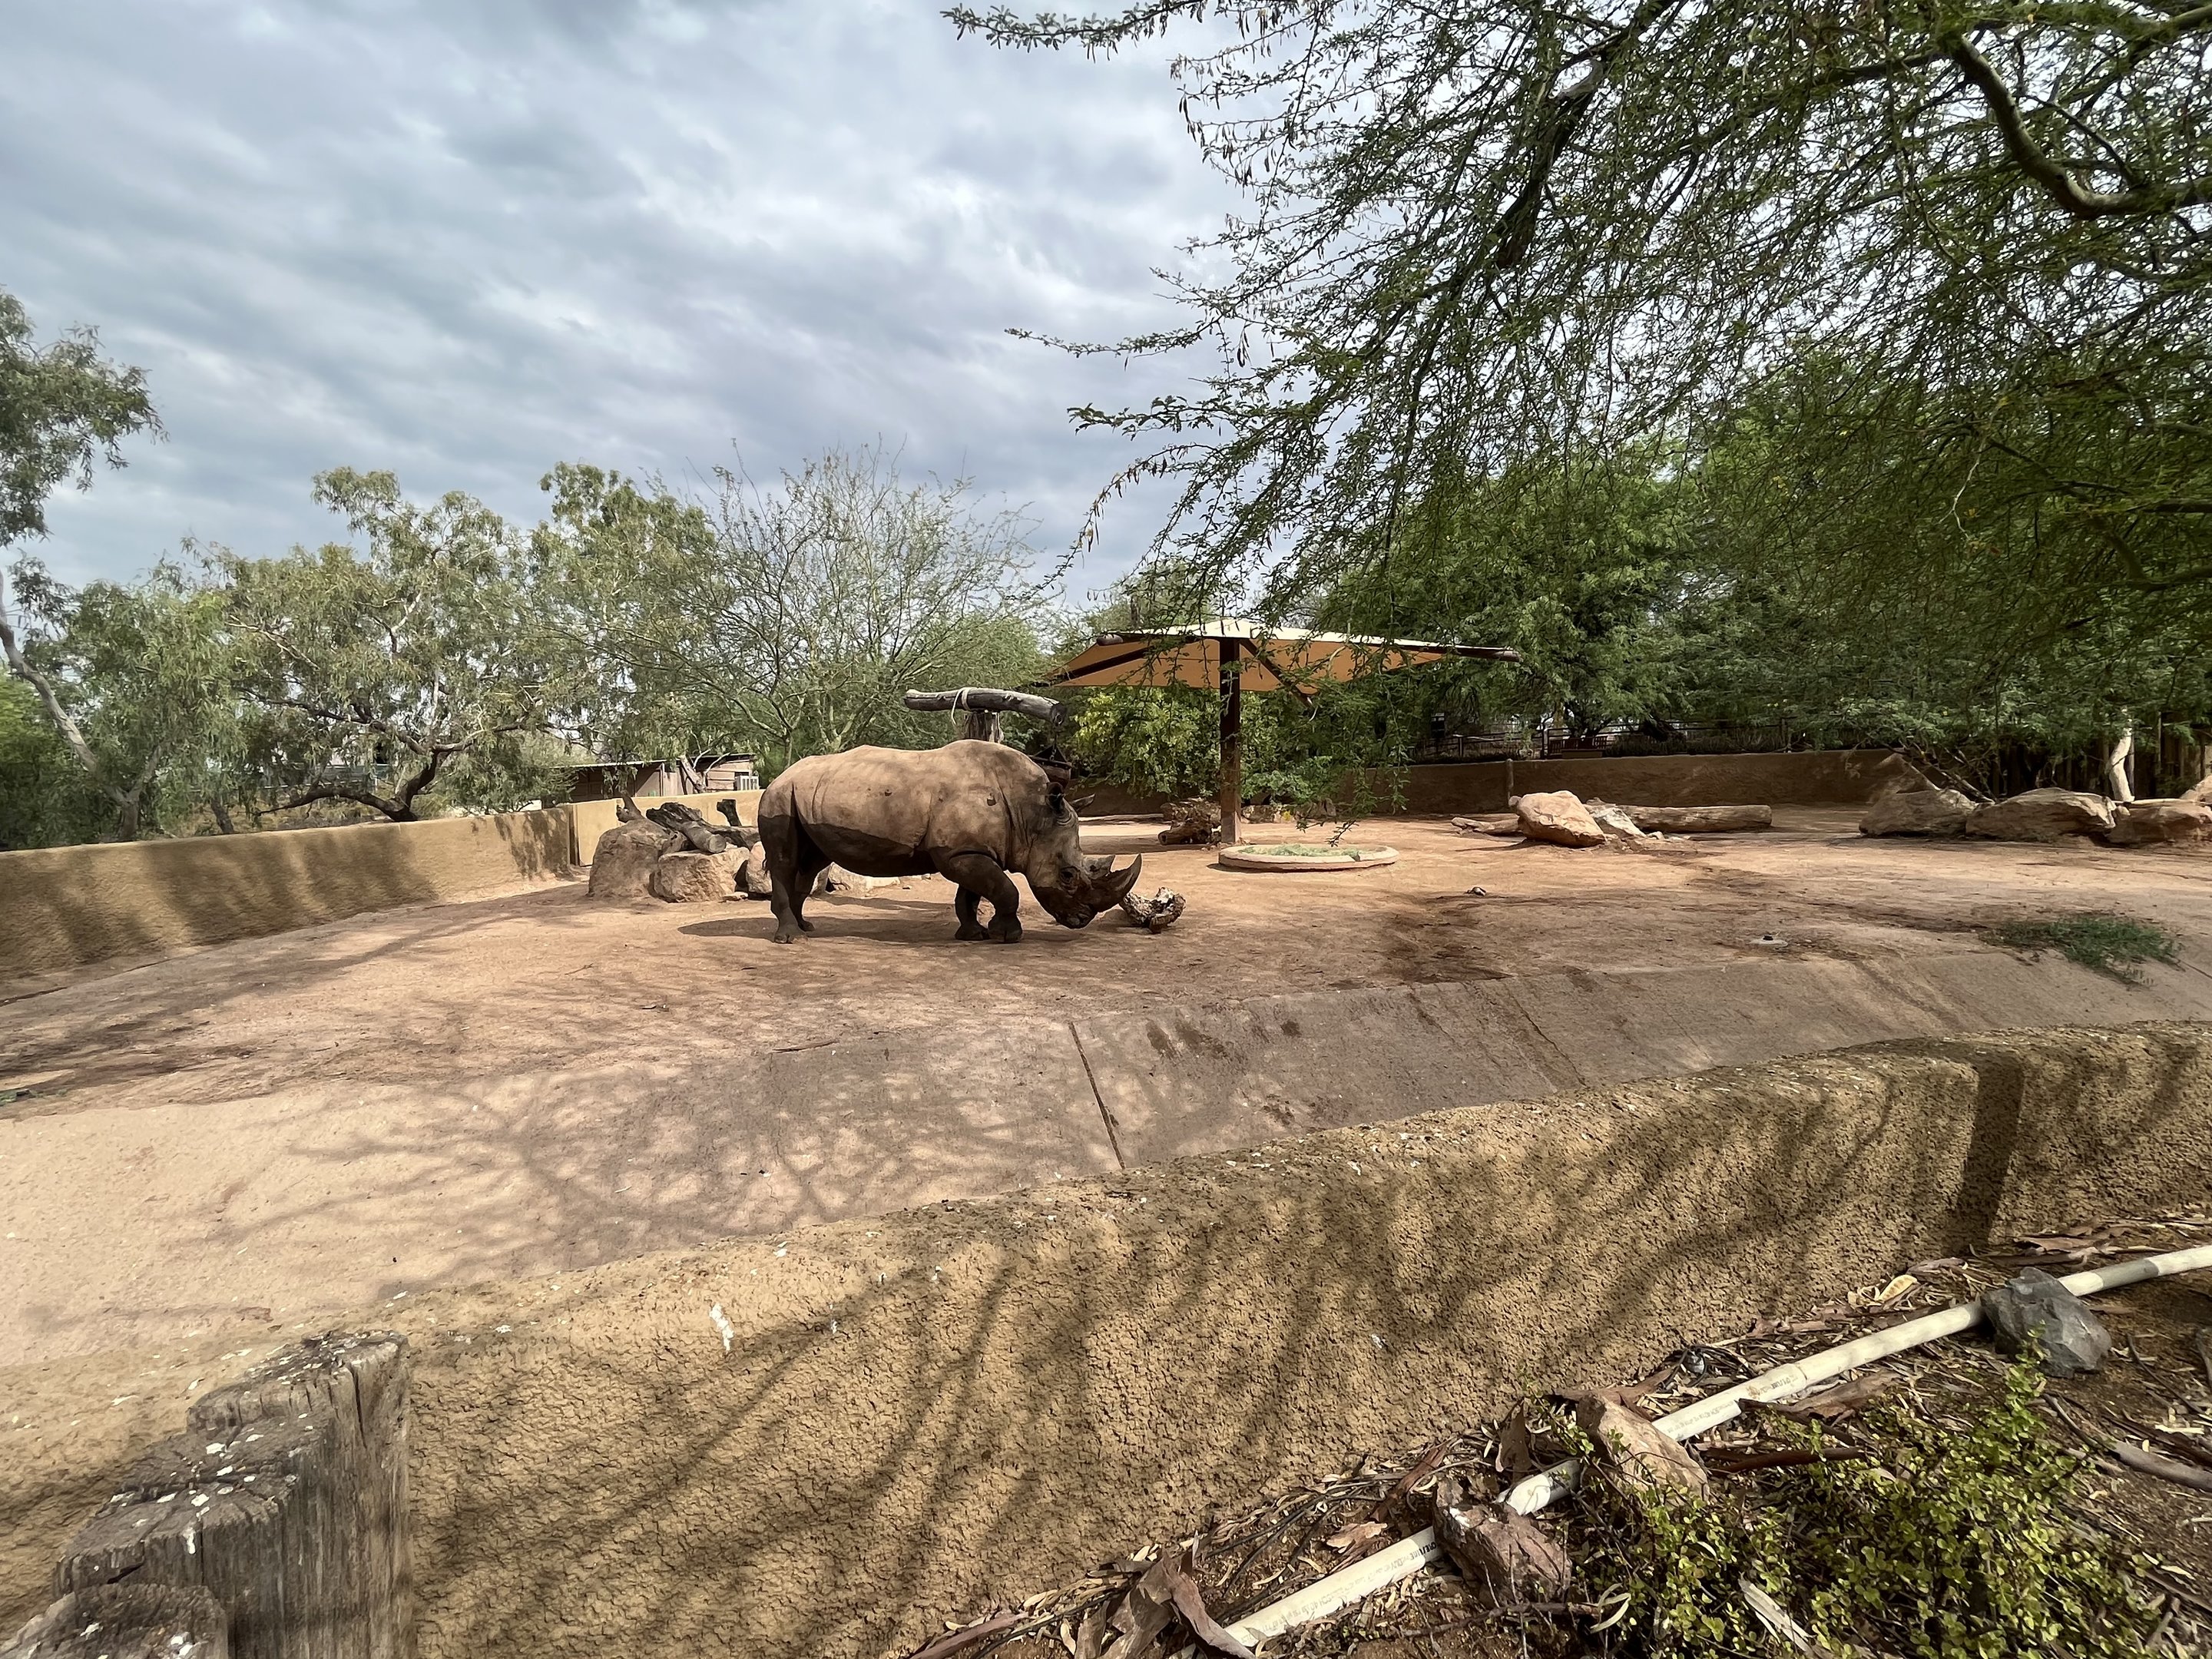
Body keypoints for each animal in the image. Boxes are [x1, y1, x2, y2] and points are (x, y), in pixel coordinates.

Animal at [758, 740, 1142, 944]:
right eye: (1067, 876)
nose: (1081, 920)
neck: (1031, 814)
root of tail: (781, 774)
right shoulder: (959, 853)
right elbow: (1005, 890)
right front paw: (1007, 937)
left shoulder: (970, 849)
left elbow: (972, 894)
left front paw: (974, 935)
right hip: (778, 798)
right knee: (785, 861)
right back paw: (792, 938)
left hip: (805, 795)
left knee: (811, 863)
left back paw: (806, 928)